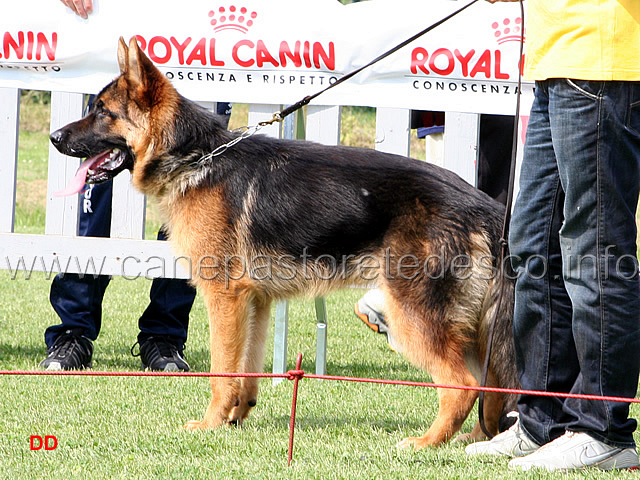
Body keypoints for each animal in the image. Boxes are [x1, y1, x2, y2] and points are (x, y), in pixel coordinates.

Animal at [51, 38, 520, 450]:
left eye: (102, 112)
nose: (55, 138)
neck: (195, 157)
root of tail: (484, 206)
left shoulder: (224, 298)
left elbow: (222, 370)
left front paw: (210, 423)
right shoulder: (255, 302)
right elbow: (247, 367)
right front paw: (237, 416)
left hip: (413, 318)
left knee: (463, 385)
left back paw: (427, 442)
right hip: (471, 326)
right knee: (492, 384)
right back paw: (476, 440)